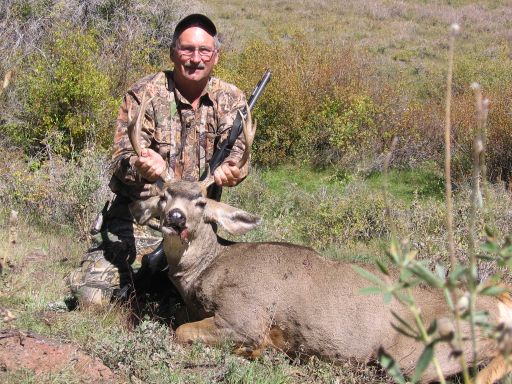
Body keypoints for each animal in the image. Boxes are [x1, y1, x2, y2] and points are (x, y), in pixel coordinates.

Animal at [126, 91, 512, 382]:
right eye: (164, 196)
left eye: (201, 201)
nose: (175, 218)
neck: (209, 269)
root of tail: (499, 303)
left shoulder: (245, 316)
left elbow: (181, 331)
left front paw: (259, 350)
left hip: (418, 351)